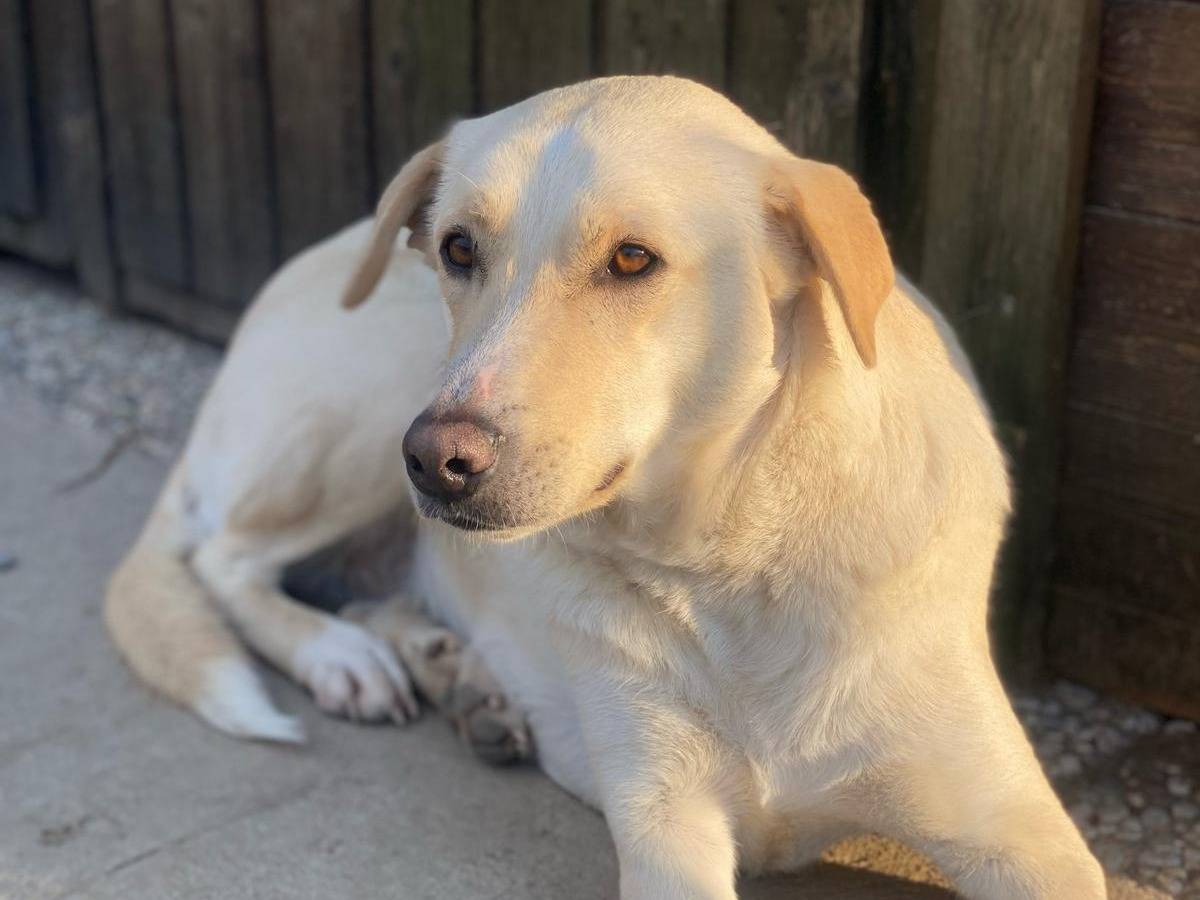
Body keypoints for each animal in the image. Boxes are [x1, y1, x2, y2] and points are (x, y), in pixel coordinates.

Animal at [106, 76, 1105, 898]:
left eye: (632, 260)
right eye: (457, 248)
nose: (434, 460)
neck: (728, 564)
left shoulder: (1025, 841)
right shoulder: (666, 827)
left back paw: (457, 676)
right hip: (372, 404)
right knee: (225, 559)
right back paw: (341, 660)